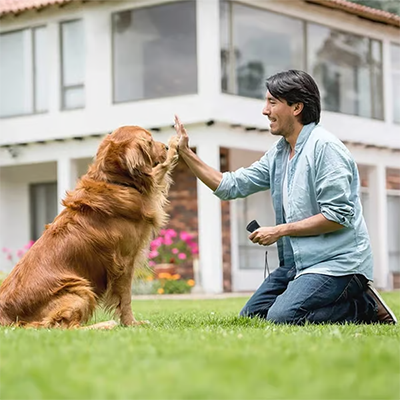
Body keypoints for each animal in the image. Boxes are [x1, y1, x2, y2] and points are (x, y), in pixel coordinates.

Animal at [0, 126, 178, 330]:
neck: (114, 181)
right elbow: (125, 299)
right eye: (149, 141)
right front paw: (132, 323)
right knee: (65, 327)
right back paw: (106, 325)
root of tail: (4, 314)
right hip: (79, 289)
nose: (164, 147)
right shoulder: (124, 262)